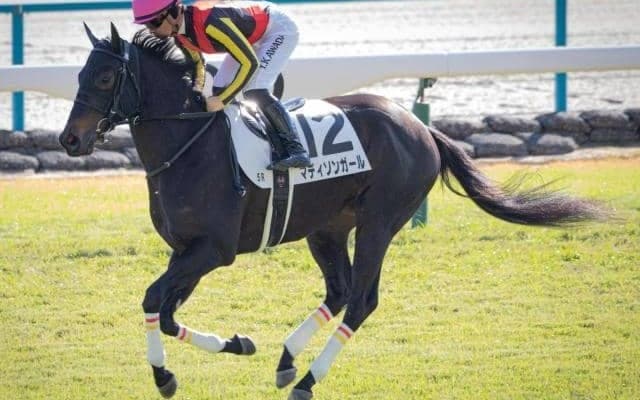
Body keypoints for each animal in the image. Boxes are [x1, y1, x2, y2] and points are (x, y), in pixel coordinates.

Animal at [59, 24, 606, 400]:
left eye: (105, 75)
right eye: (80, 74)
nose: (69, 139)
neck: (190, 143)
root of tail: (421, 128)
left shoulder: (213, 250)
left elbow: (154, 299)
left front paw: (164, 375)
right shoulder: (187, 251)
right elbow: (166, 311)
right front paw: (237, 343)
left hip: (379, 223)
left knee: (361, 300)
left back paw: (306, 380)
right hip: (327, 228)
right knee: (339, 291)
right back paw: (285, 360)